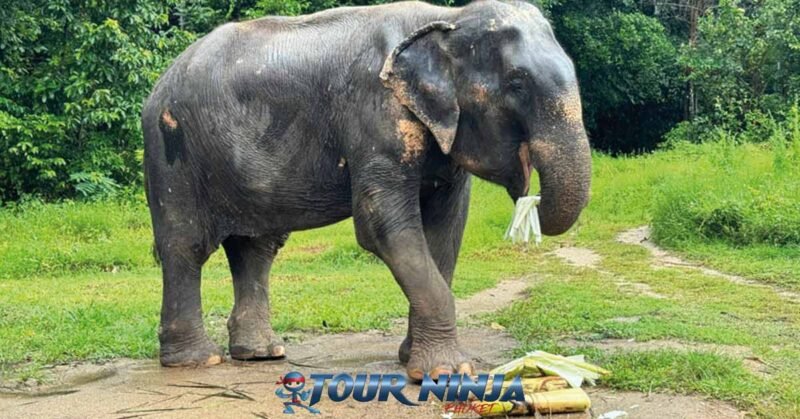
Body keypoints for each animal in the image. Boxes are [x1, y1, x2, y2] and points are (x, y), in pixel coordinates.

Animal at [142, 0, 591, 380]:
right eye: (517, 83)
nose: (528, 195)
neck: (447, 18)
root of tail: (161, 81)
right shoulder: (375, 113)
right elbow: (381, 224)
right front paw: (447, 373)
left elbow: (446, 230)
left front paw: (413, 360)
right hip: (172, 151)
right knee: (187, 245)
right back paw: (199, 360)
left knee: (256, 247)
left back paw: (261, 354)